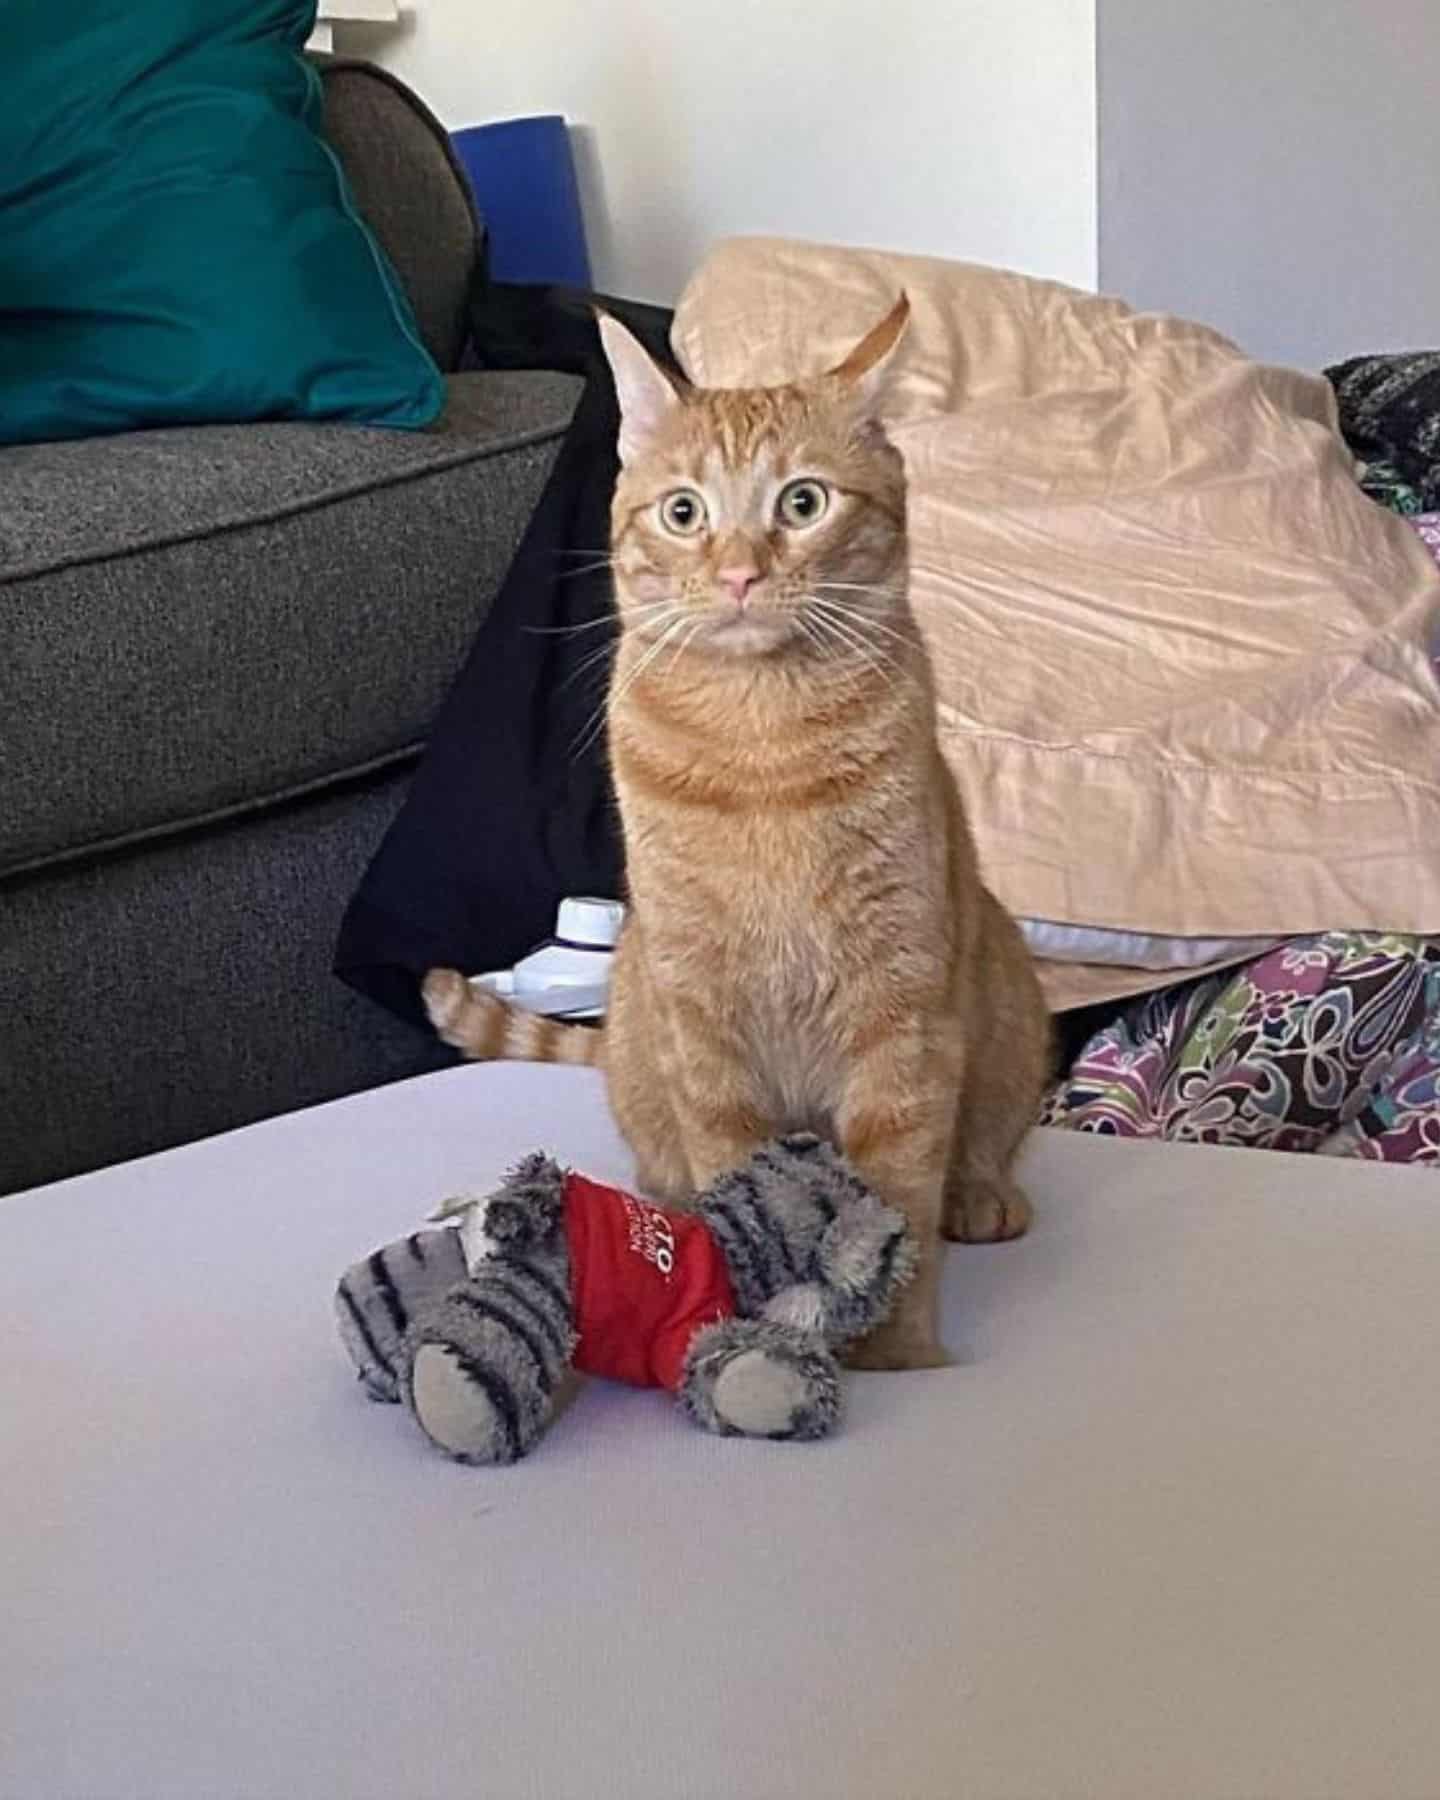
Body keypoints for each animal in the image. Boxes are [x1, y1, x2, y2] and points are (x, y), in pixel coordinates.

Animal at [424, 302, 1044, 1360]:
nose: (743, 574)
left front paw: (897, 1355)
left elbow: (900, 1182)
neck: (764, 749)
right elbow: (733, 1165)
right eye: (684, 514)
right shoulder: (701, 1008)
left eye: (803, 503)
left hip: (1005, 988)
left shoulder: (902, 1004)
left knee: (987, 1139)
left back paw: (981, 1193)